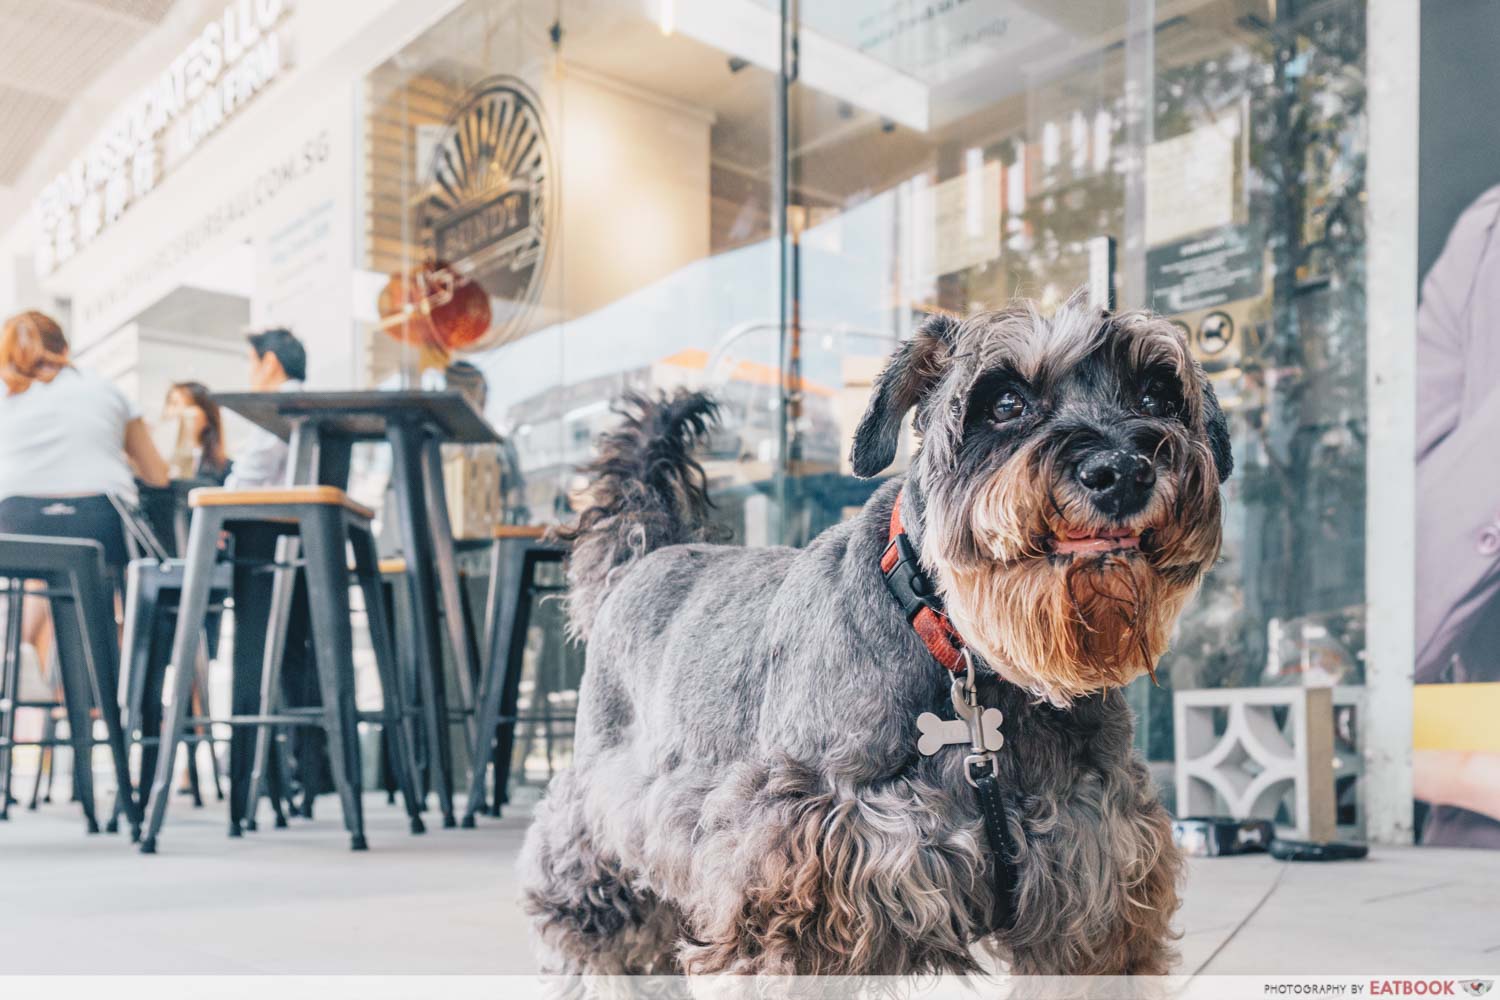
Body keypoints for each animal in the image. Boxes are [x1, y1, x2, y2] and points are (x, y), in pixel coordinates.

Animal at [519, 295, 1230, 977]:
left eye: (1158, 395)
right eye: (1005, 402)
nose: (1124, 471)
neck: (970, 662)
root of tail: (642, 559)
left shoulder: (1094, 907)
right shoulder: (787, 888)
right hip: (602, 848)